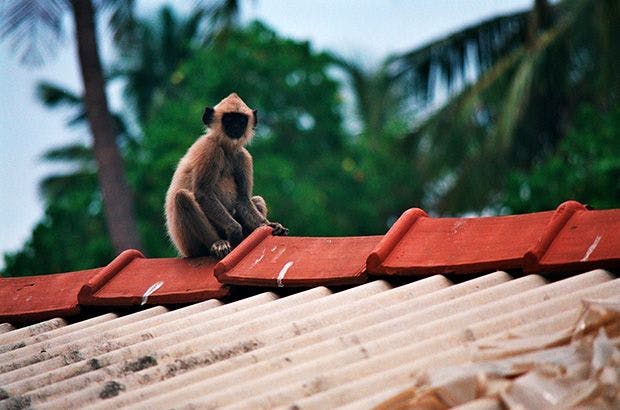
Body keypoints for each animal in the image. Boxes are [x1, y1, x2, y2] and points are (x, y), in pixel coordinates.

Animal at [166, 93, 290, 260]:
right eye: (229, 119)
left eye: (241, 120)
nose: (236, 127)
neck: (225, 148)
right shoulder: (210, 149)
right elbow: (203, 193)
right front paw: (234, 229)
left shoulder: (243, 156)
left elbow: (243, 200)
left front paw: (271, 226)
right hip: (190, 245)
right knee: (182, 197)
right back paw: (218, 244)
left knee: (257, 199)